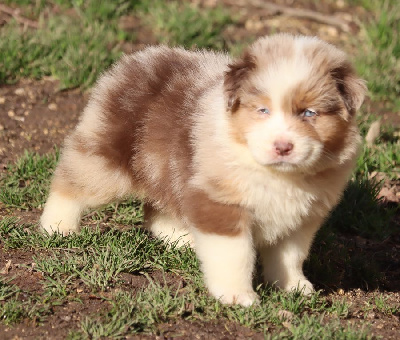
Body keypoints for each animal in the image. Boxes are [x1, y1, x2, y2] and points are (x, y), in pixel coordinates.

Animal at [39, 33, 366, 306]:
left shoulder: (301, 219)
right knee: (70, 181)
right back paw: (57, 226)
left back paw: (184, 239)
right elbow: (235, 255)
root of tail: (139, 58)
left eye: (309, 113)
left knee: (157, 209)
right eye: (262, 110)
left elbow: (290, 257)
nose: (282, 146)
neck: (278, 175)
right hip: (107, 159)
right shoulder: (220, 203)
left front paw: (294, 287)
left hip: (167, 169)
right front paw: (237, 296)